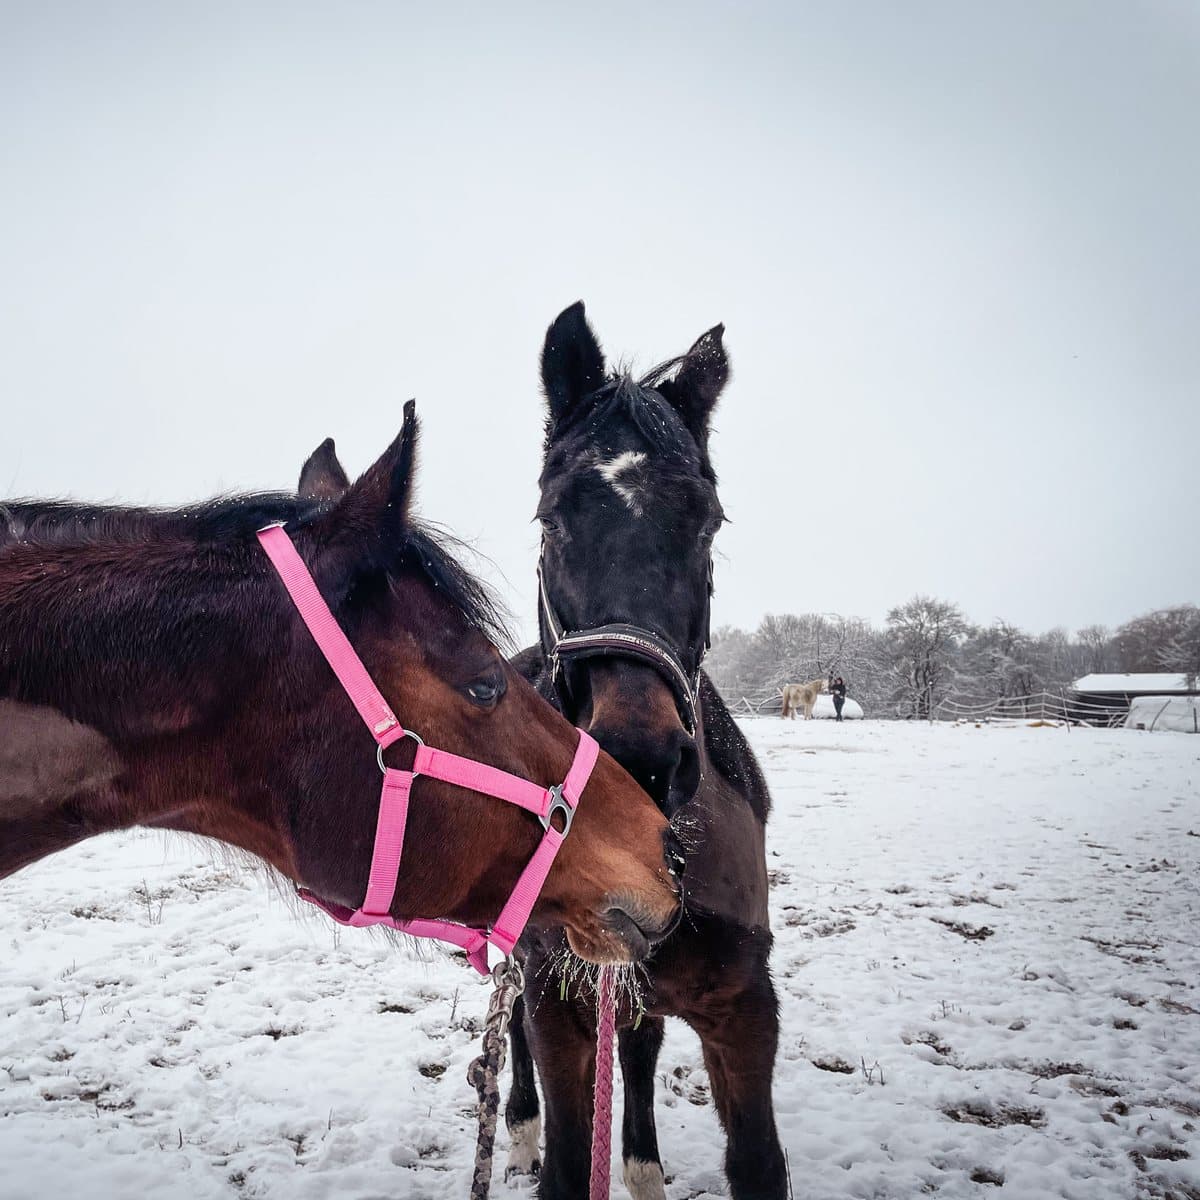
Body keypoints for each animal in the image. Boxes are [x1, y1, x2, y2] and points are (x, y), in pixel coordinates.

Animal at [503, 304, 787, 1200]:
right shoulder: (557, 998)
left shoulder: (744, 1009)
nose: (640, 759)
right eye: (552, 514)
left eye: (707, 518)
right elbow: (566, 1162)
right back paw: (517, 1128)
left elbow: (758, 1163)